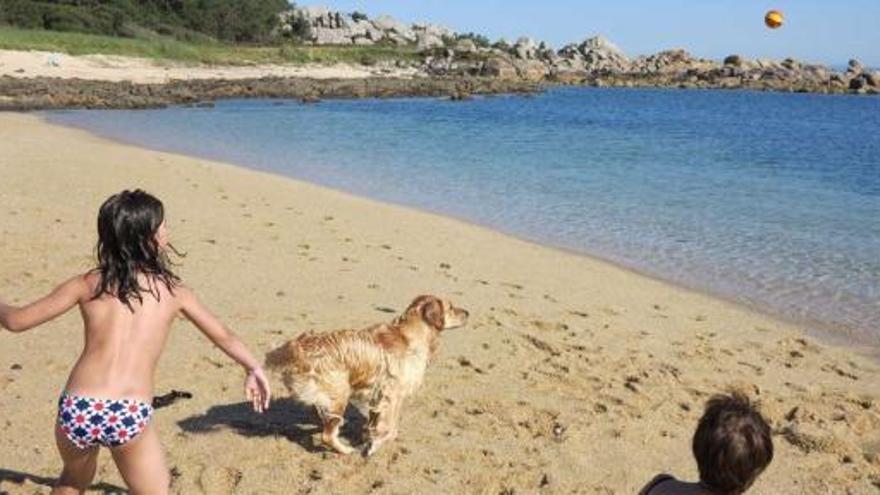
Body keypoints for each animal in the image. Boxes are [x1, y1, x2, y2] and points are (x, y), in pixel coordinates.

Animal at [266, 296, 468, 456]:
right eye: (451, 307)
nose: (468, 312)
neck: (410, 334)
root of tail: (299, 347)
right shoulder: (392, 395)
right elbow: (390, 429)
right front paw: (373, 445)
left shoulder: (378, 396)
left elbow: (377, 423)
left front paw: (370, 435)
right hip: (340, 392)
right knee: (327, 435)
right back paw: (345, 449)